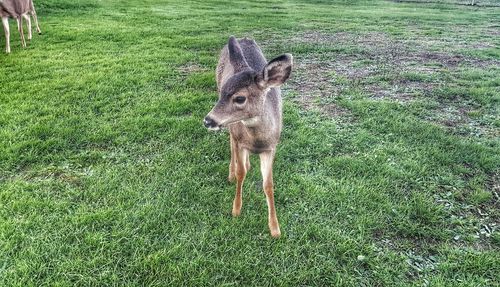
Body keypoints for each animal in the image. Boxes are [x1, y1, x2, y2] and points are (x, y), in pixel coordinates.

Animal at [204, 36, 292, 238]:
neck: (257, 140)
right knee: (231, 144)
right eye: (222, 93)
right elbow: (240, 173)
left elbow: (268, 184)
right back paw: (231, 172)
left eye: (240, 98)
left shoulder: (271, 147)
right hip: (232, 129)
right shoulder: (240, 140)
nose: (208, 120)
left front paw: (275, 228)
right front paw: (236, 209)